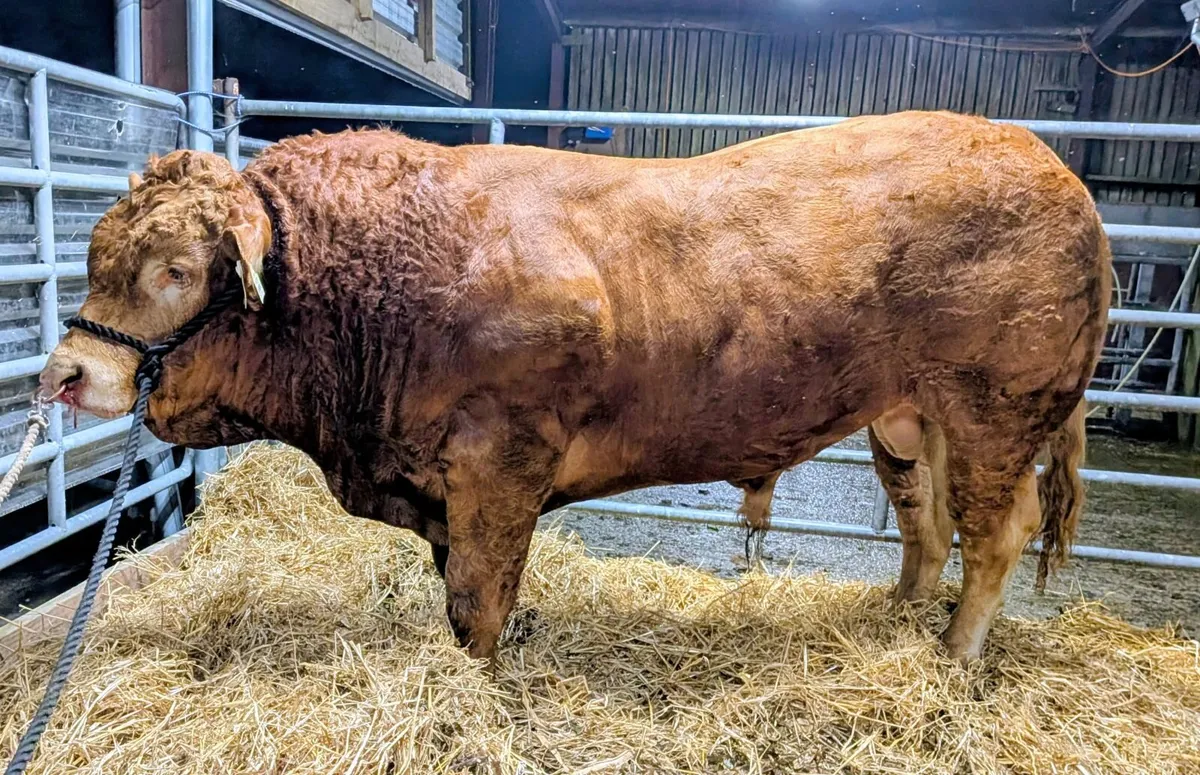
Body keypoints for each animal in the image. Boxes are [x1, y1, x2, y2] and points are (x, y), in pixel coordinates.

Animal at [39, 110, 1108, 664]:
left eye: (177, 268)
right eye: (95, 253)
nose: (63, 374)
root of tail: (1050, 166)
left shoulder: (499, 460)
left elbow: (477, 598)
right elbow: (467, 588)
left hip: (995, 408)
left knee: (996, 533)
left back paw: (954, 654)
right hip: (907, 415)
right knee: (927, 522)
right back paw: (894, 618)